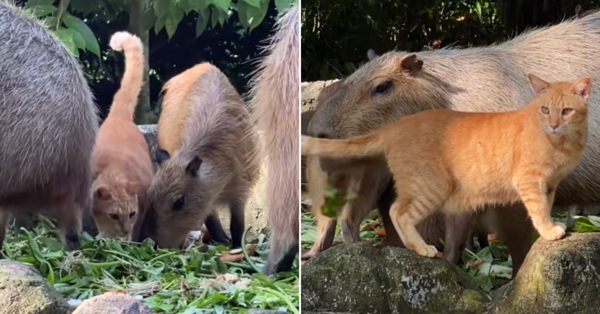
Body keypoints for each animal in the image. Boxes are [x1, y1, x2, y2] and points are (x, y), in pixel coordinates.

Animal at [302, 75, 592, 258]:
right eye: (545, 110)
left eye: (566, 111)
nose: (553, 124)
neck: (561, 142)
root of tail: (396, 125)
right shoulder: (530, 182)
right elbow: (539, 210)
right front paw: (549, 231)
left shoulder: (550, 184)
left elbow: (545, 207)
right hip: (430, 187)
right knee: (397, 212)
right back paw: (423, 249)